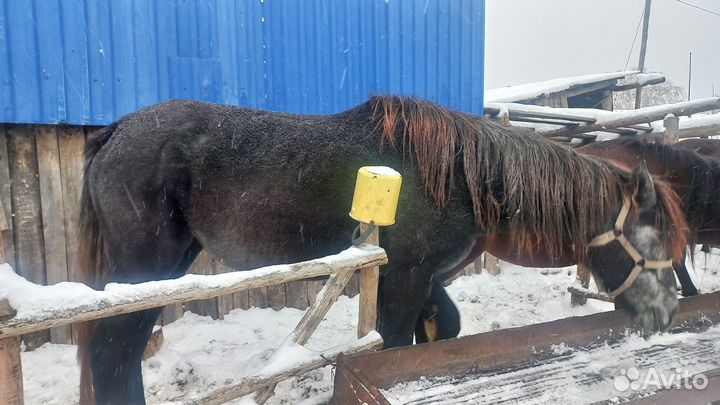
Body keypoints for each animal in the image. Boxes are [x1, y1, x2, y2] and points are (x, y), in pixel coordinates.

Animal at [76, 96, 686, 404]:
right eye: (651, 236)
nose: (668, 312)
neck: (458, 173)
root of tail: (116, 131)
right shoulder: (407, 276)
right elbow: (393, 348)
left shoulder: (421, 278)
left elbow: (439, 330)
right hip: (145, 271)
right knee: (112, 353)